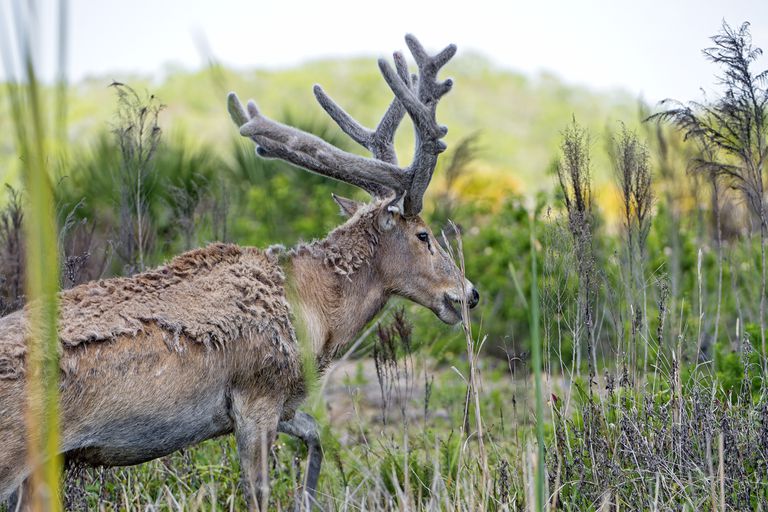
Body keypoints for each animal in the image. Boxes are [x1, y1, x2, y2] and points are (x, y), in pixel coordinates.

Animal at [0, 34, 480, 510]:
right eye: (423, 235)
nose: (468, 293)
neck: (317, 313)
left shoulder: (280, 404)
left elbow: (316, 435)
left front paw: (308, 497)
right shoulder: (258, 394)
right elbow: (259, 491)